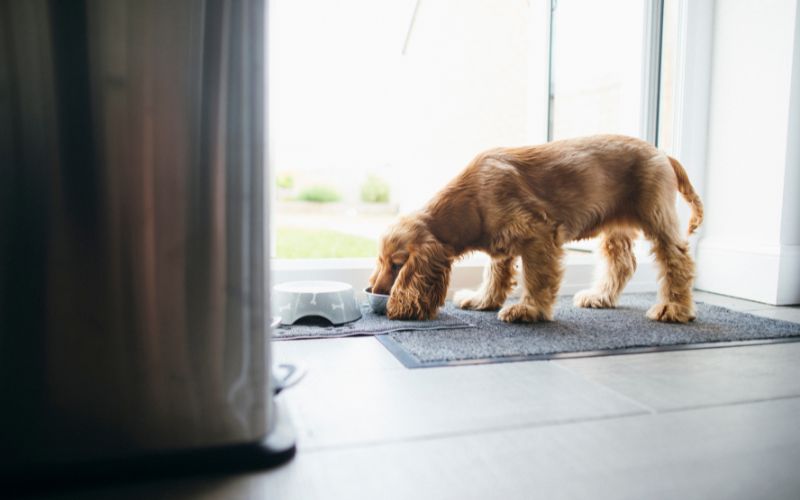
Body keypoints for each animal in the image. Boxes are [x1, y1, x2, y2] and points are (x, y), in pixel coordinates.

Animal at [368, 136, 700, 324]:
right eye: (380, 262)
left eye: (397, 265)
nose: (374, 291)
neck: (471, 198)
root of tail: (663, 154)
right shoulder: (501, 242)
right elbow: (495, 273)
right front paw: (483, 300)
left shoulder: (539, 233)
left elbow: (537, 278)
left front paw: (529, 311)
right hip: (615, 226)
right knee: (622, 262)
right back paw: (600, 297)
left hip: (657, 216)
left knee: (678, 260)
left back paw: (673, 308)